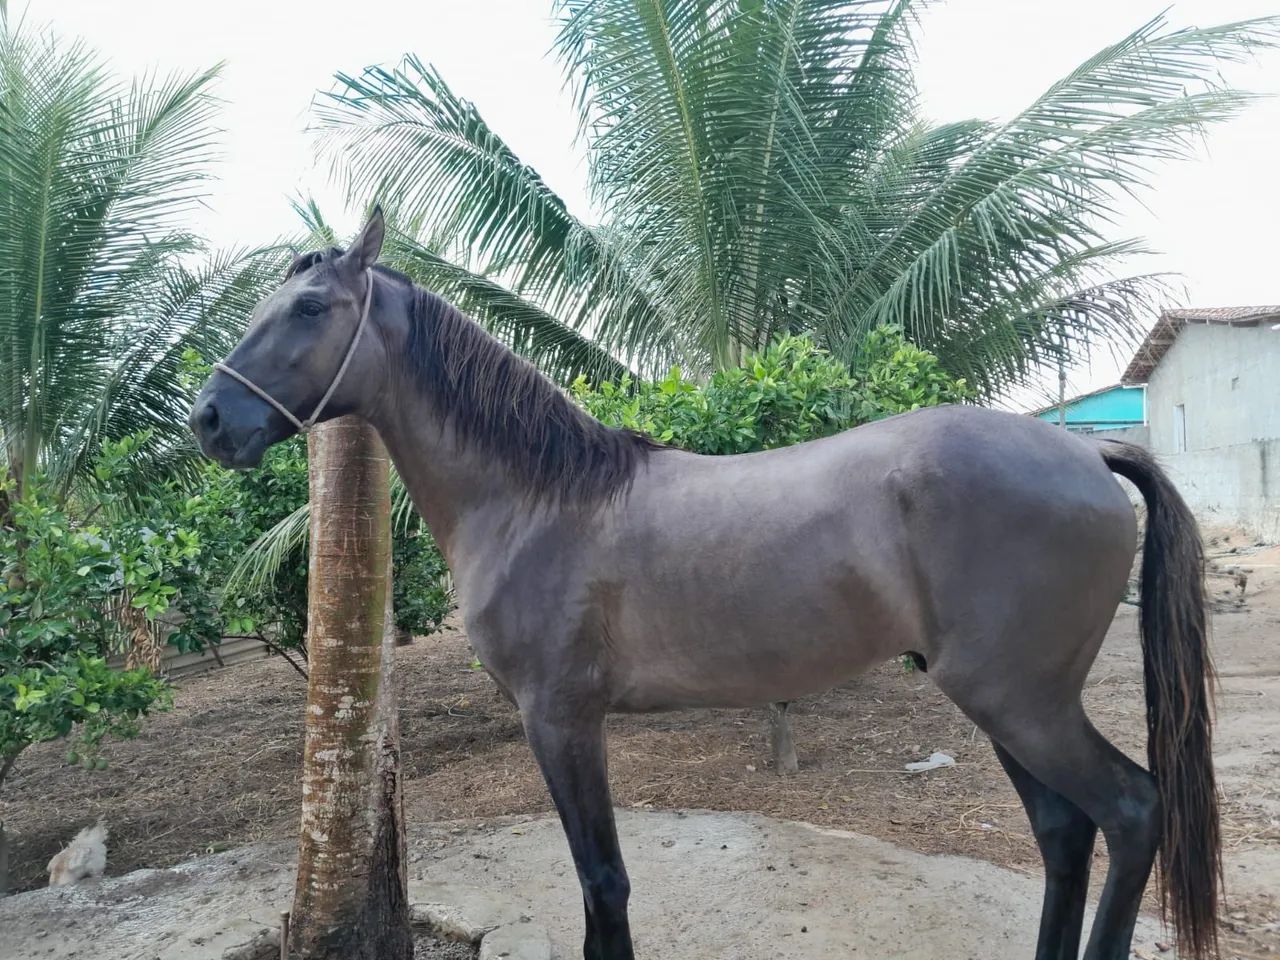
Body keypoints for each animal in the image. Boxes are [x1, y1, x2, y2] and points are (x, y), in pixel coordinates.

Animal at [189, 209, 1220, 960]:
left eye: (310, 307)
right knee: (1064, 835)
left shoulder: (560, 718)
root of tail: (1086, 453)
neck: (538, 498)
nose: (209, 421)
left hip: (1020, 700)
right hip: (1005, 702)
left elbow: (603, 885)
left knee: (1130, 814)